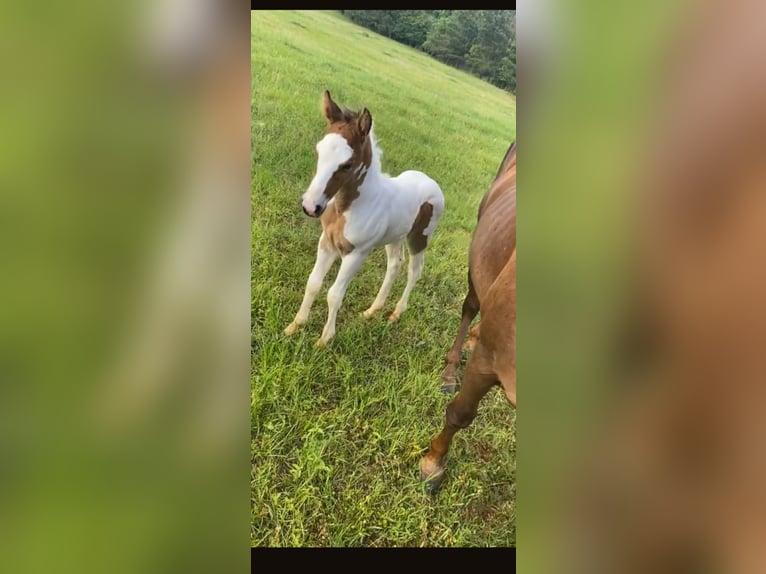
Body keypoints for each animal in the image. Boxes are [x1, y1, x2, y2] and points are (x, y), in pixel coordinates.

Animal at [284, 91, 446, 348]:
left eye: (347, 165)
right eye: (318, 151)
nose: (310, 206)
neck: (346, 209)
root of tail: (431, 182)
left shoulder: (357, 253)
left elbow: (334, 294)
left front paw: (324, 340)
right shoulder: (326, 243)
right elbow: (313, 283)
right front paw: (295, 326)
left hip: (420, 237)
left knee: (415, 270)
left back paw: (396, 313)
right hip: (395, 236)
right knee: (395, 264)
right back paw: (372, 311)